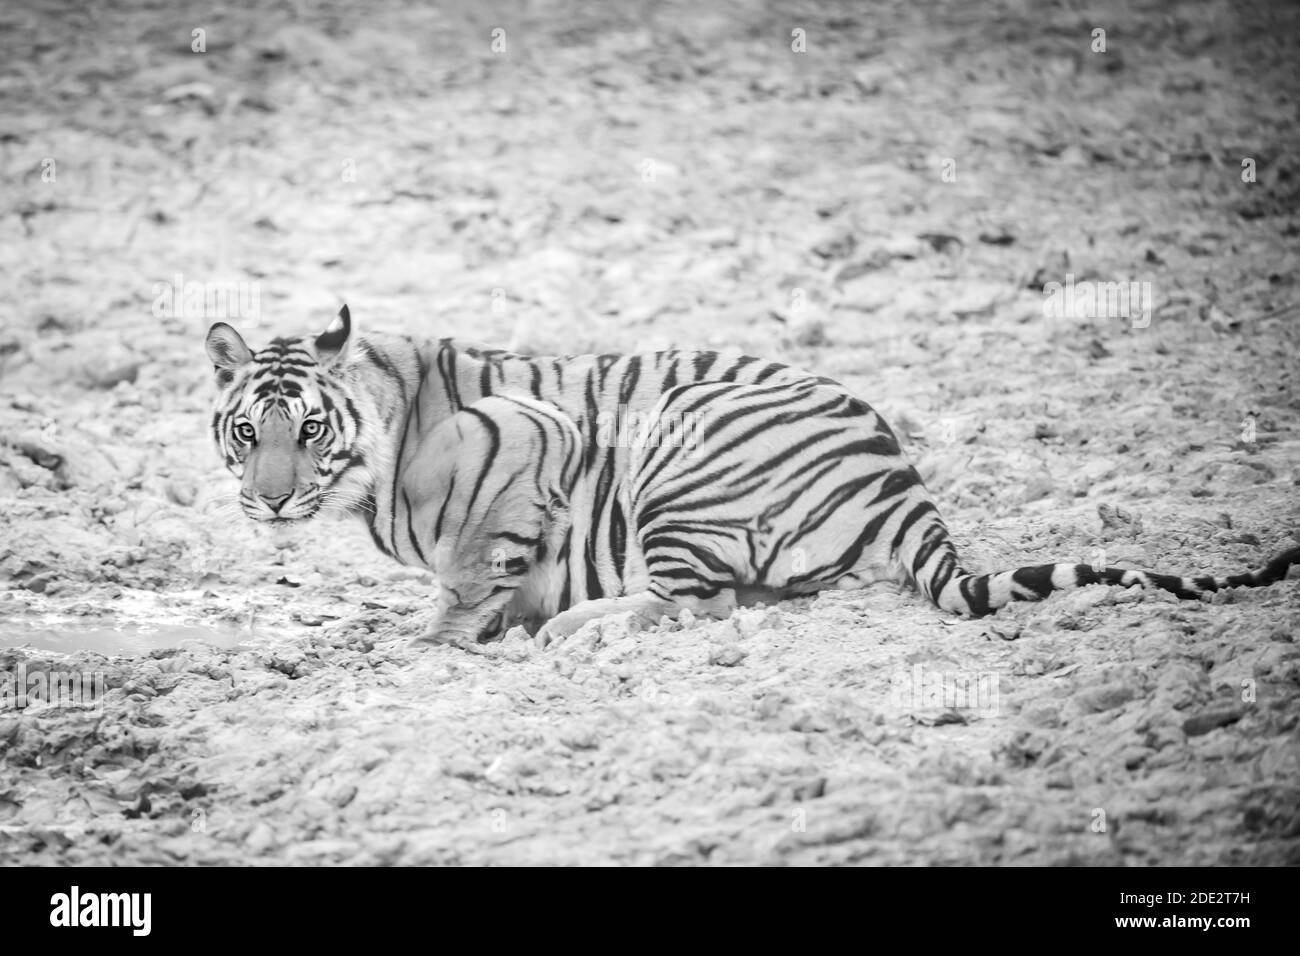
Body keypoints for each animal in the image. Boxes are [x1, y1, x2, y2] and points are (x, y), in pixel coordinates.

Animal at [202, 306, 1300, 650]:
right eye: (247, 431)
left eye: (310, 427)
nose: (269, 497)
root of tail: (900, 474)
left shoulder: (524, 441)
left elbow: (471, 574)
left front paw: (436, 638)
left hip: (678, 452)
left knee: (690, 603)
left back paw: (572, 627)